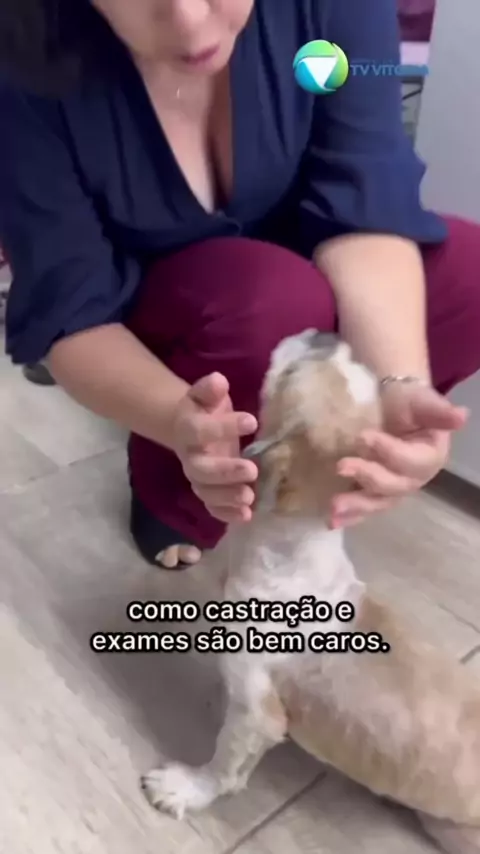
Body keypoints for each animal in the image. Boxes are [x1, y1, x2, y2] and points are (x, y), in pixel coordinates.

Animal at [141, 330, 480, 854]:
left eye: (293, 373)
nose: (330, 333)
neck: (292, 546)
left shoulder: (257, 710)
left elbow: (226, 764)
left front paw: (187, 788)